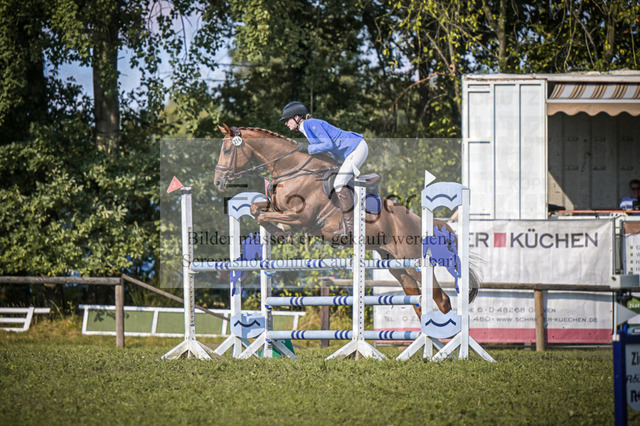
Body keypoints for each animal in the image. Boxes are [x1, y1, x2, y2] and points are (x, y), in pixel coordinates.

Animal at [214, 124, 479, 315]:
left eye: (227, 150)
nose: (218, 182)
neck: (292, 169)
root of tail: (422, 221)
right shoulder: (279, 208)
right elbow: (256, 209)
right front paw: (281, 232)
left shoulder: (301, 217)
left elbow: (265, 215)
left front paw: (281, 232)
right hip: (397, 266)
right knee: (417, 299)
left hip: (413, 260)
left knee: (440, 298)